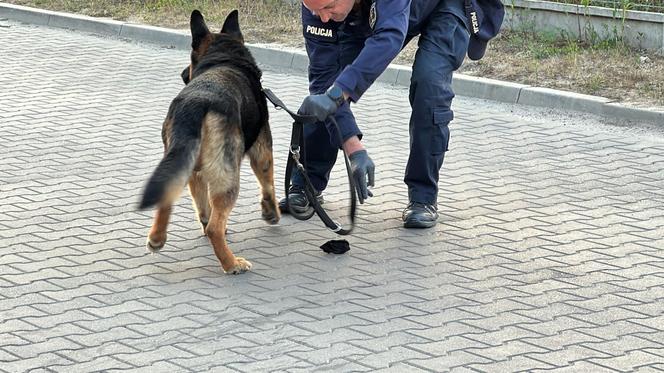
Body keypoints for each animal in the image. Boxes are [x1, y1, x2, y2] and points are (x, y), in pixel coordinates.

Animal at [139, 9, 278, 274]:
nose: (183, 74)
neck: (225, 59)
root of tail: (197, 103)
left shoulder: (196, 174)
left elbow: (204, 209)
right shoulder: (262, 149)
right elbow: (268, 184)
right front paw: (272, 212)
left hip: (181, 164)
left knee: (169, 198)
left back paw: (157, 239)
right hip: (228, 177)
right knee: (215, 227)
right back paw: (231, 263)